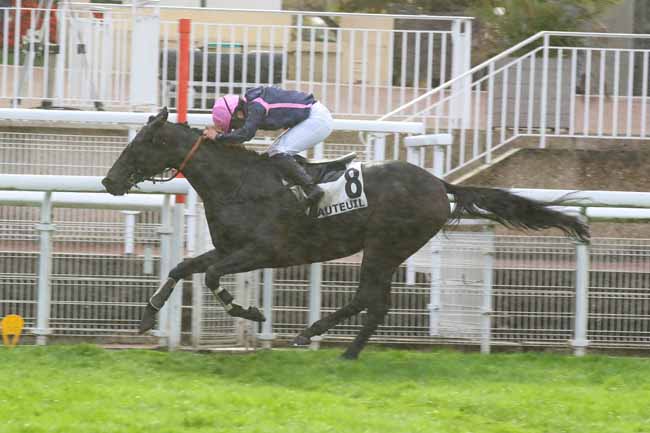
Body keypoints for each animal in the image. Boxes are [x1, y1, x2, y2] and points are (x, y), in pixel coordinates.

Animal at [102, 107, 588, 358]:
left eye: (139, 145)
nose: (108, 181)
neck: (238, 183)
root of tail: (440, 184)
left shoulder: (261, 251)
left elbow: (211, 277)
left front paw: (251, 312)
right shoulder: (229, 248)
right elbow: (184, 266)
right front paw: (146, 317)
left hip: (385, 246)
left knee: (368, 299)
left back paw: (320, 339)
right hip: (388, 250)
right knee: (375, 303)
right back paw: (334, 344)